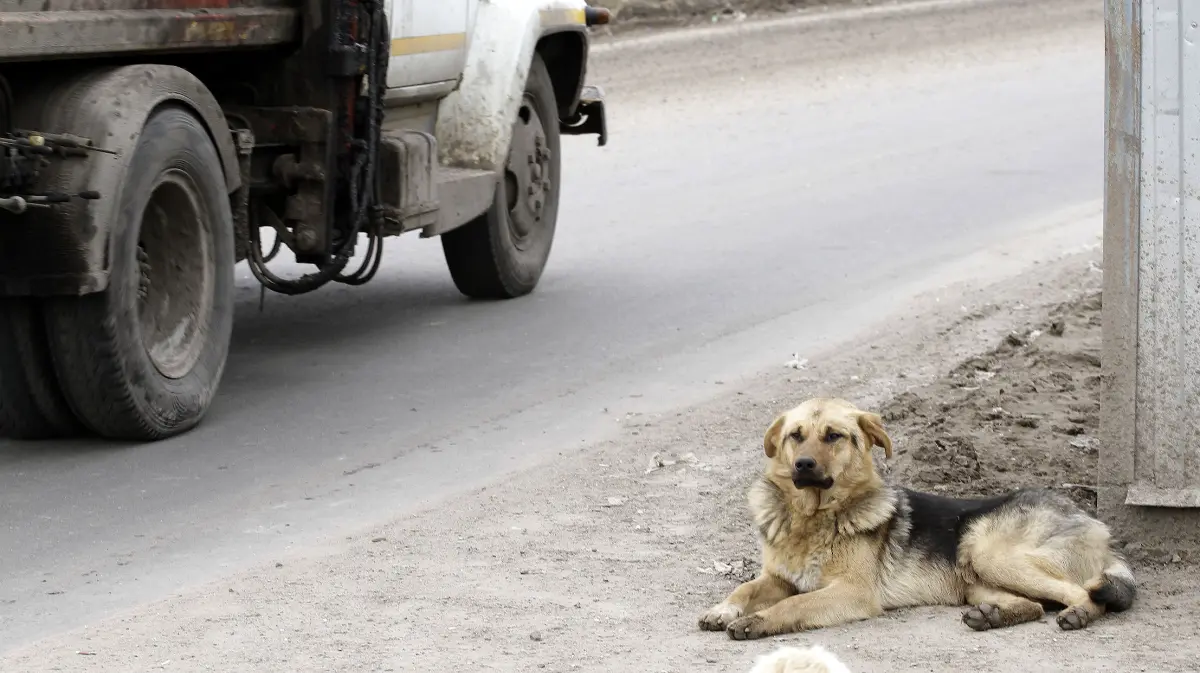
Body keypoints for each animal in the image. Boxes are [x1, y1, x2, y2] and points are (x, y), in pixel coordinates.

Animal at [700, 398, 1128, 638]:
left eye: (833, 436)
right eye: (795, 435)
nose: (803, 465)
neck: (814, 516)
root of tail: (1090, 518)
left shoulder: (853, 592)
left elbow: (795, 605)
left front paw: (758, 621)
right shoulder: (778, 579)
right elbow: (745, 589)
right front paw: (723, 609)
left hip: (989, 553)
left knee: (1084, 593)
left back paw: (1079, 614)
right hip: (976, 580)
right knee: (1035, 605)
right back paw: (992, 617)